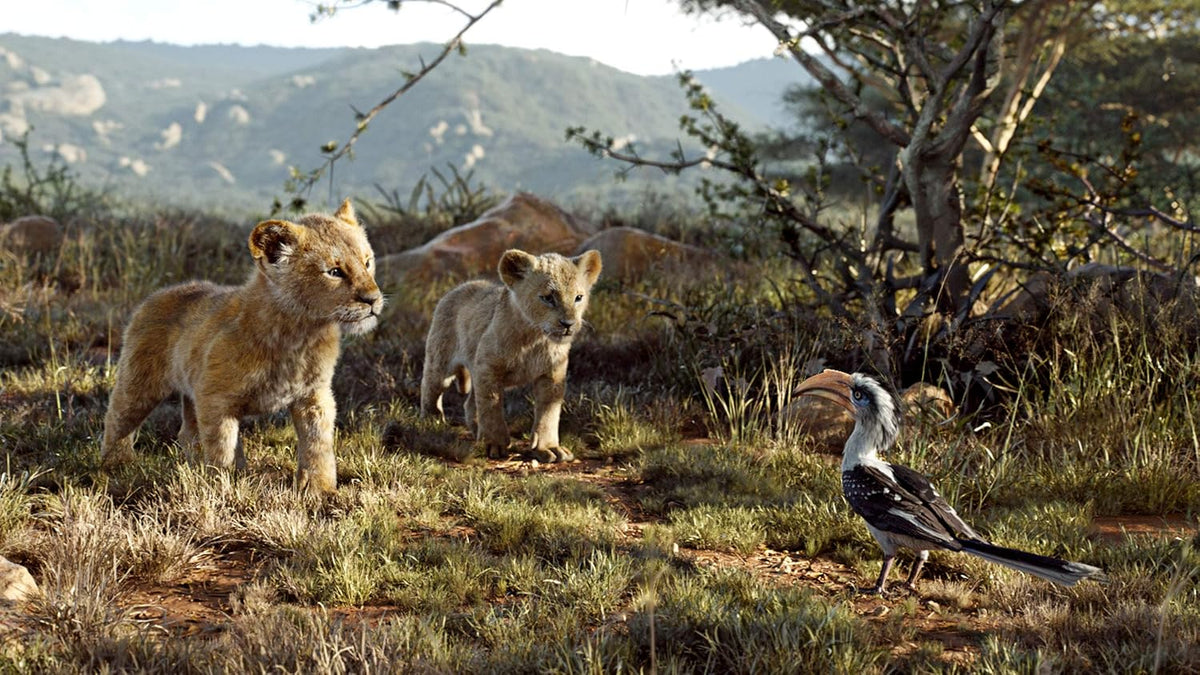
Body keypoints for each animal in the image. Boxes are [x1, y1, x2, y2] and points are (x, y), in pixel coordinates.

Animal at [101, 199, 383, 493]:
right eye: (335, 272)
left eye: (368, 262)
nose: (373, 299)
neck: (300, 335)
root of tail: (155, 296)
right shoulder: (215, 399)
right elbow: (222, 448)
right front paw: (221, 486)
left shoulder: (314, 396)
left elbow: (318, 445)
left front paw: (320, 490)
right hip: (139, 383)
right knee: (118, 419)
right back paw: (115, 466)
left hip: (189, 391)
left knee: (188, 433)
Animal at [420, 249, 602, 462]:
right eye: (548, 298)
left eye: (578, 297)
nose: (568, 324)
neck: (535, 339)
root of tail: (461, 286)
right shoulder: (488, 368)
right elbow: (491, 406)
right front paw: (495, 445)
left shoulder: (553, 374)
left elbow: (549, 413)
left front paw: (548, 448)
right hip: (441, 360)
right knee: (431, 386)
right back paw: (431, 422)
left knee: (469, 404)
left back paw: (477, 431)